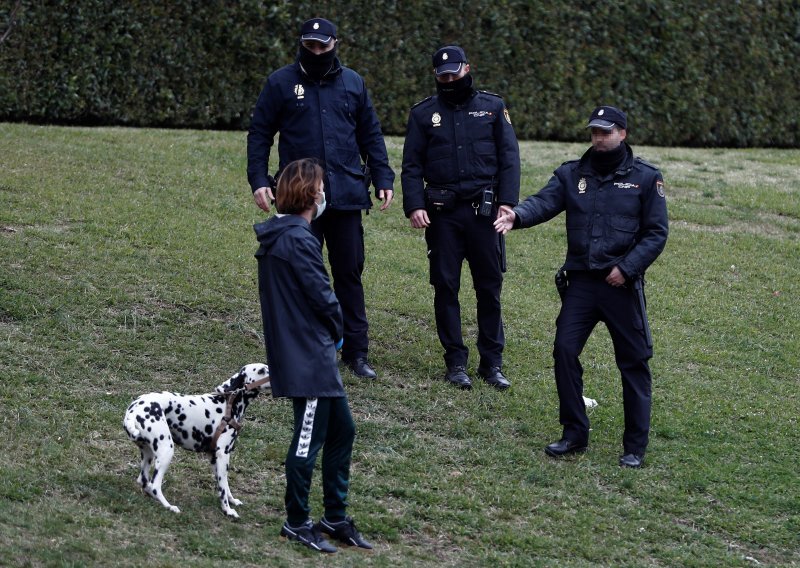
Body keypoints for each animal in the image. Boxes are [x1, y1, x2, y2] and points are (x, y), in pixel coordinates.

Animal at [123, 364, 270, 520]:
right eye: (261, 370)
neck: (228, 404)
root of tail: (134, 409)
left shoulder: (215, 458)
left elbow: (225, 486)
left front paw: (232, 501)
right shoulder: (223, 455)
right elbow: (223, 489)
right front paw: (227, 510)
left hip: (148, 454)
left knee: (144, 482)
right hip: (166, 451)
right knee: (155, 485)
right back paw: (169, 506)